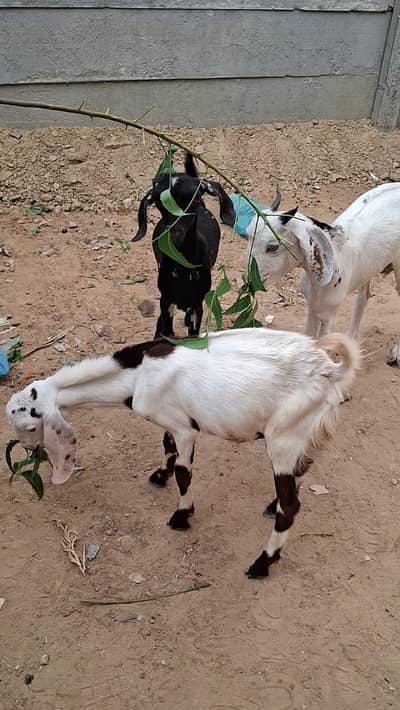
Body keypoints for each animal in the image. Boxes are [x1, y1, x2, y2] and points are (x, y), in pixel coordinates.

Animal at [6, 327, 359, 578]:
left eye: (28, 424)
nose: (28, 450)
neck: (137, 374)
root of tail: (329, 370)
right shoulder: (172, 421)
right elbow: (167, 447)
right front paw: (159, 475)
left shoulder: (186, 429)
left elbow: (183, 472)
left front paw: (181, 515)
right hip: (302, 435)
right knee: (300, 473)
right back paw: (271, 508)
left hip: (283, 437)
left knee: (291, 506)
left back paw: (262, 562)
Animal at [131, 153, 236, 337]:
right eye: (159, 204)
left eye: (194, 198)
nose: (175, 233)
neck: (183, 267)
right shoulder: (166, 300)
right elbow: (165, 330)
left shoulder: (196, 305)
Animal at [247, 182, 400, 365]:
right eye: (248, 235)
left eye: (272, 247)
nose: (249, 281)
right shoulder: (312, 307)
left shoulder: (330, 314)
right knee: (362, 298)